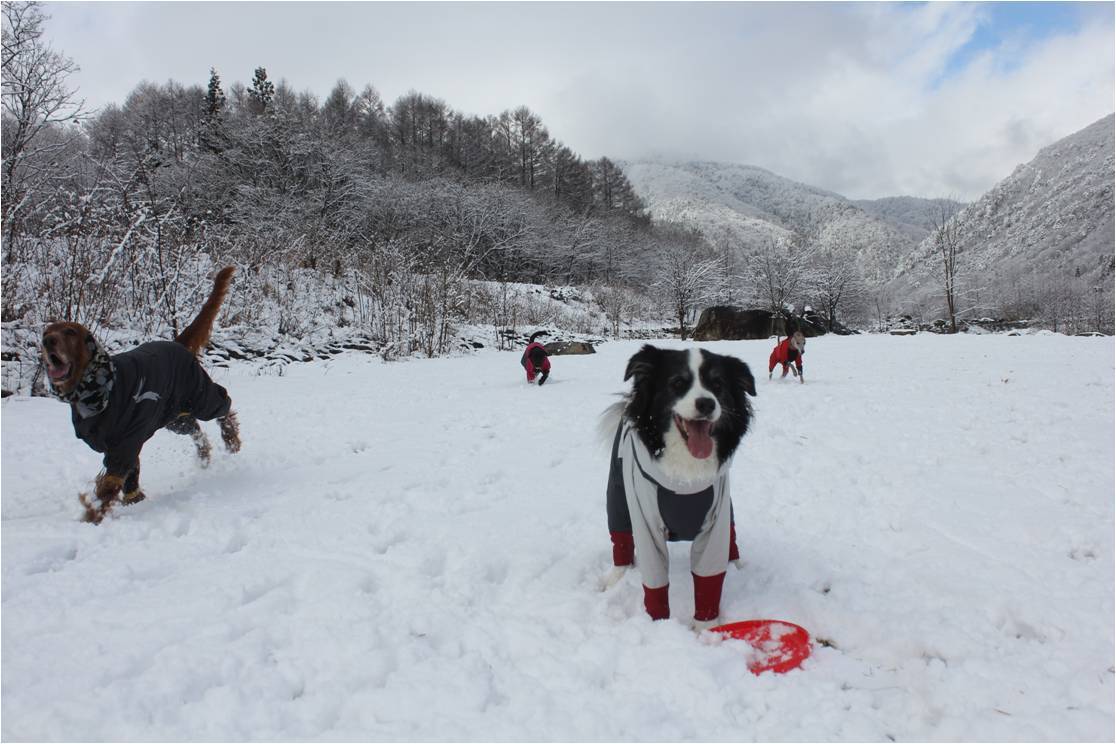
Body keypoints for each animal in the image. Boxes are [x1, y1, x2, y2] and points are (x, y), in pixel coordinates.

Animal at [602, 343, 758, 629]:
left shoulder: (716, 519)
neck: (685, 478)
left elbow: (709, 576)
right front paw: (659, 625)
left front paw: (706, 629)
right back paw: (616, 575)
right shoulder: (645, 521)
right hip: (617, 492)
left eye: (717, 384)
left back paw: (737, 563)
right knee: (620, 534)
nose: (707, 403)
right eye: (677, 383)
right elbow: (655, 580)